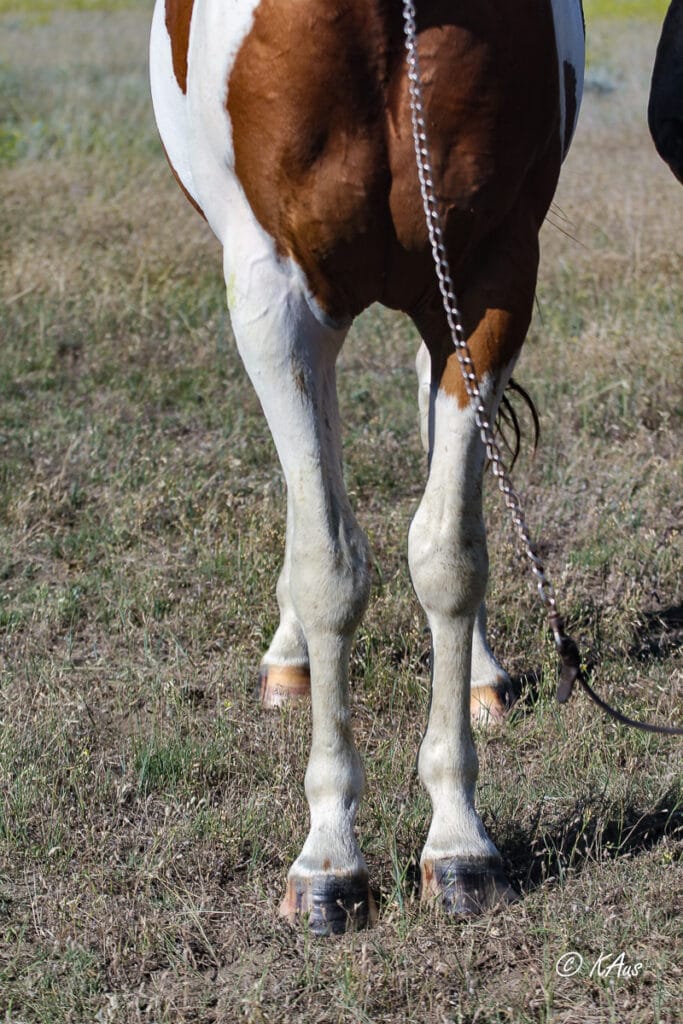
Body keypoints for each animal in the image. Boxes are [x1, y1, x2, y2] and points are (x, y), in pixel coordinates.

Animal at [149, 0, 585, 934]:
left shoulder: (491, 274)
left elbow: (448, 556)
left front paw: (458, 843)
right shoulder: (274, 293)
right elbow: (330, 568)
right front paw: (329, 859)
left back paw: (483, 675)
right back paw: (288, 657)